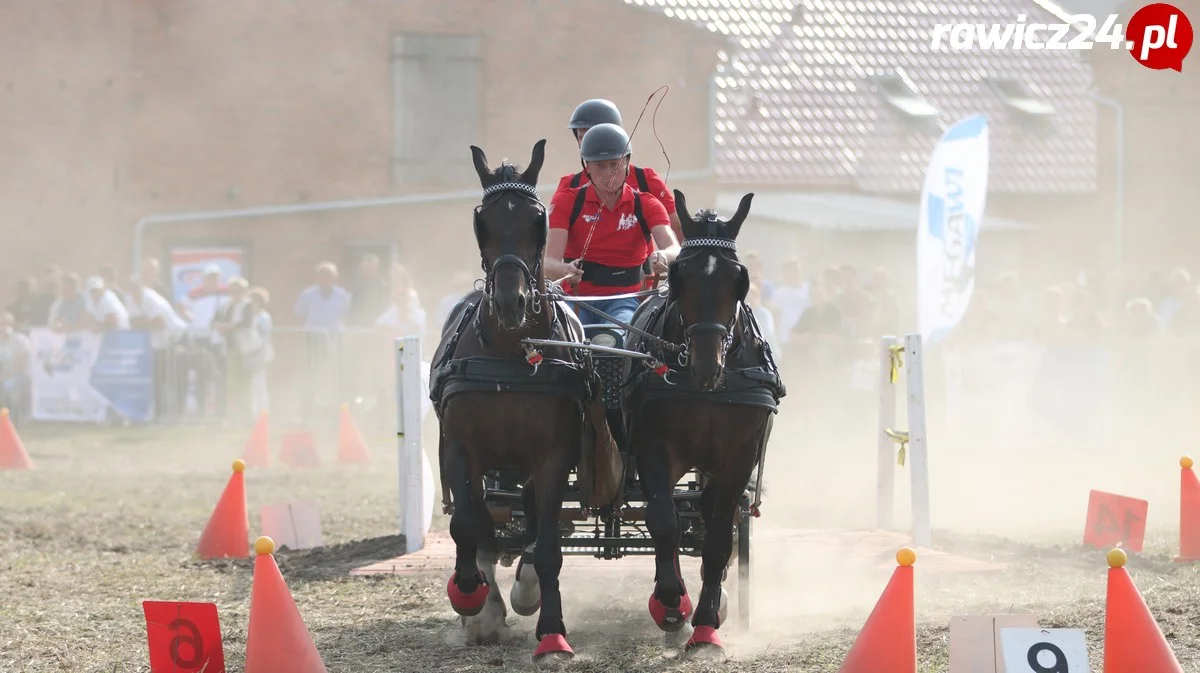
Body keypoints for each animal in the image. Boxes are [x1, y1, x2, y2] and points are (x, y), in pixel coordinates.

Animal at [429, 140, 619, 662]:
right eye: (482, 220)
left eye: (537, 220)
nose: (511, 303)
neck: (512, 352)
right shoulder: (461, 450)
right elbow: (468, 525)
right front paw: (472, 599)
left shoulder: (552, 456)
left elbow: (548, 542)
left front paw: (549, 625)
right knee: (486, 523)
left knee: (532, 519)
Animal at [624, 189, 782, 657]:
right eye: (680, 277)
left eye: (739, 280)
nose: (706, 367)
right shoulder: (655, 450)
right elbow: (663, 521)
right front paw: (671, 602)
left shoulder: (738, 458)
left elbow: (715, 538)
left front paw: (708, 622)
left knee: (713, 517)